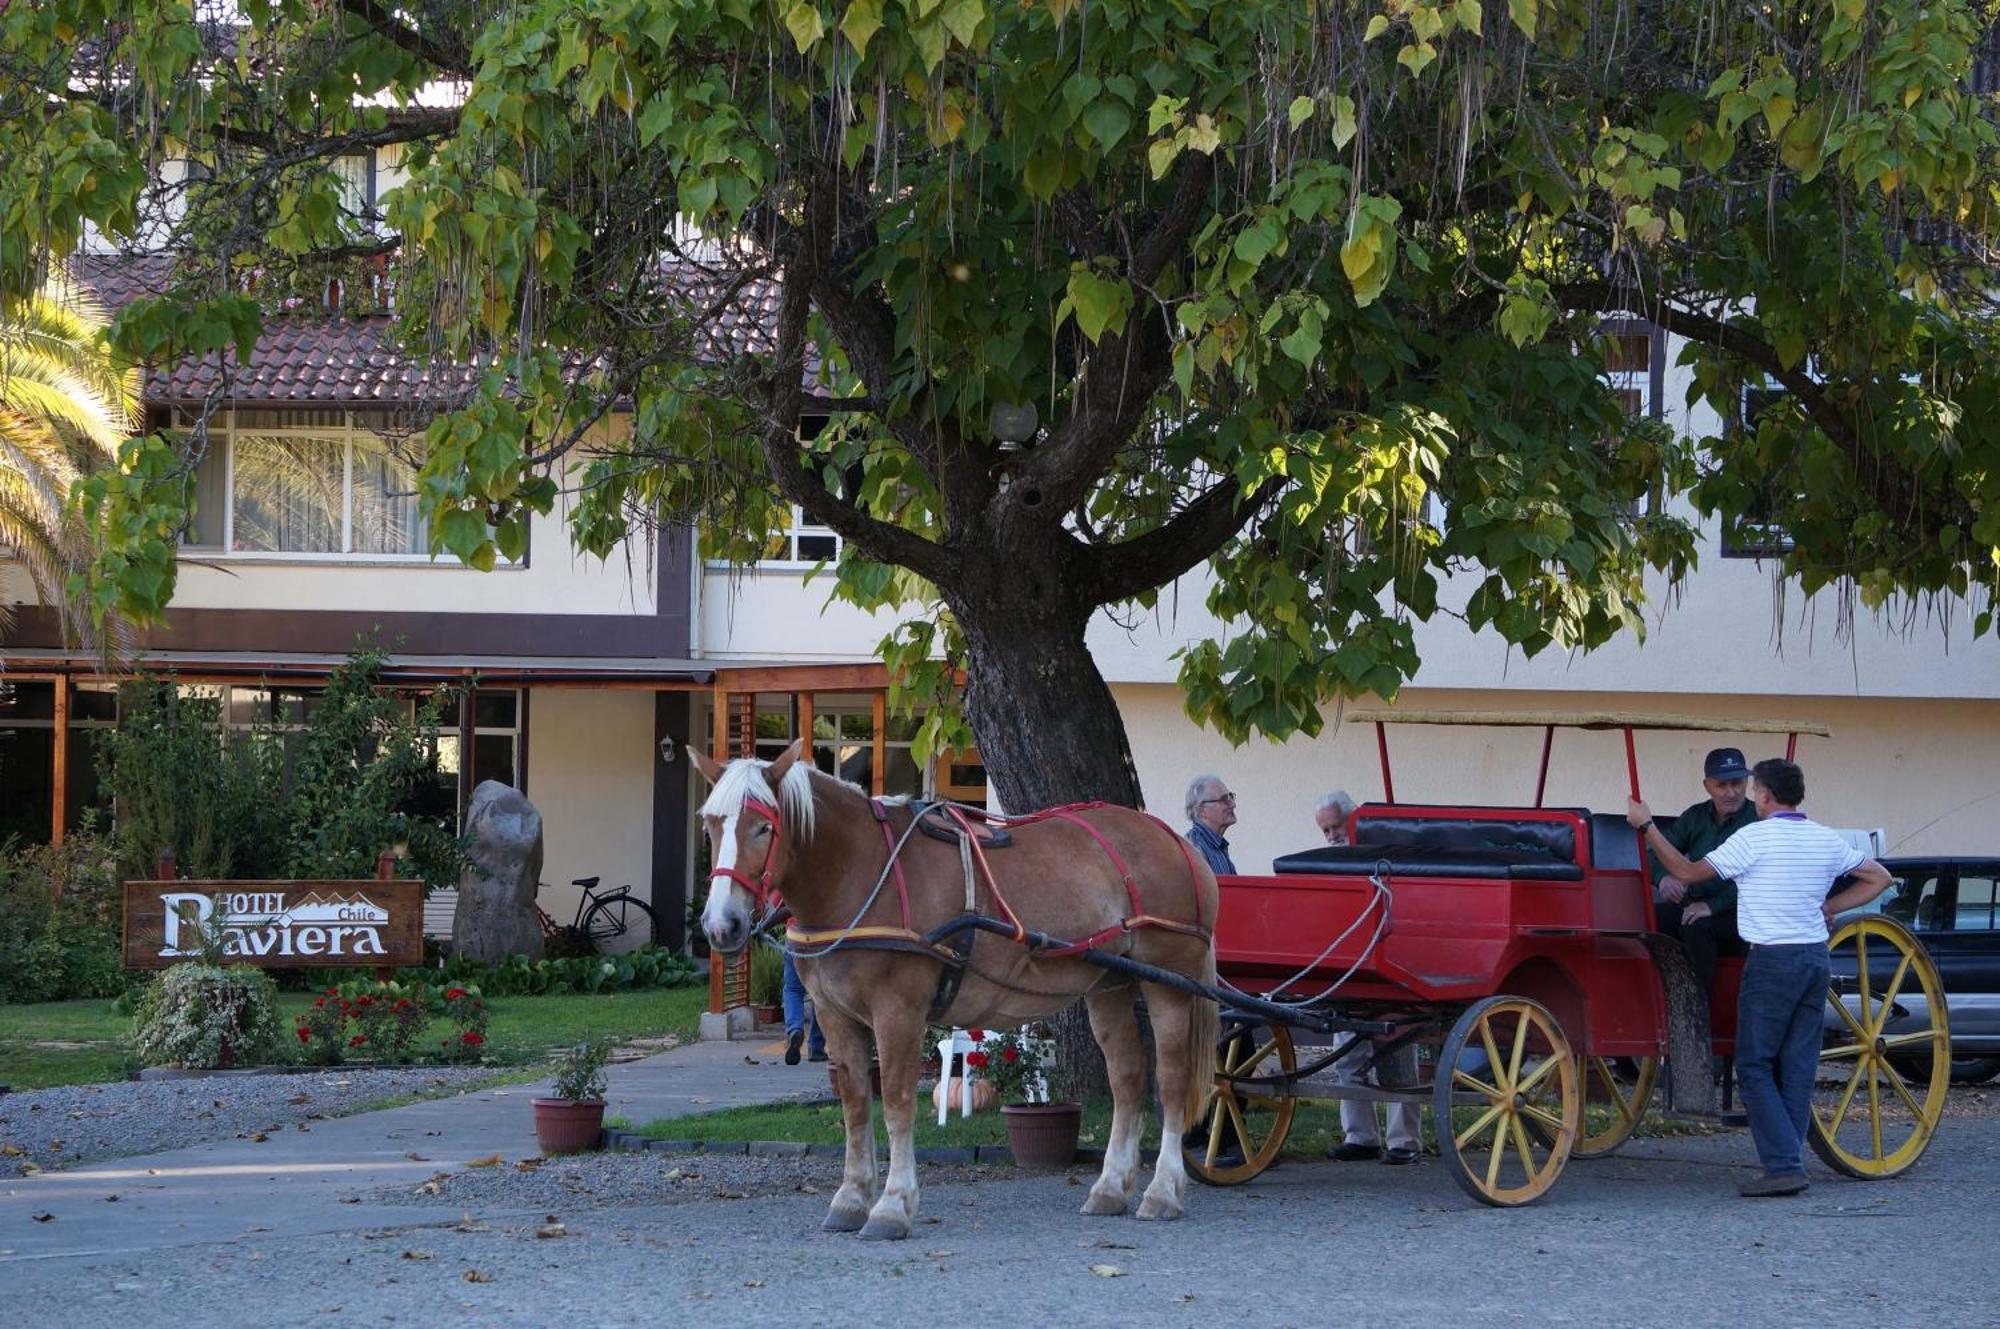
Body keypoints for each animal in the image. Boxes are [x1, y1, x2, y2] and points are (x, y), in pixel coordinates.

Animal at [688, 740, 1216, 1240]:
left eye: (763, 827)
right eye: (710, 824)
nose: (720, 925)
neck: (862, 871)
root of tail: (1173, 839)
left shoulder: (898, 1011)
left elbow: (897, 1102)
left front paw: (892, 1205)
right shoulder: (836, 1015)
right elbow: (856, 1104)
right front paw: (851, 1198)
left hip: (1169, 983)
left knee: (1171, 1082)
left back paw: (1163, 1190)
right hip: (1110, 985)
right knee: (1128, 1078)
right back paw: (1110, 1187)